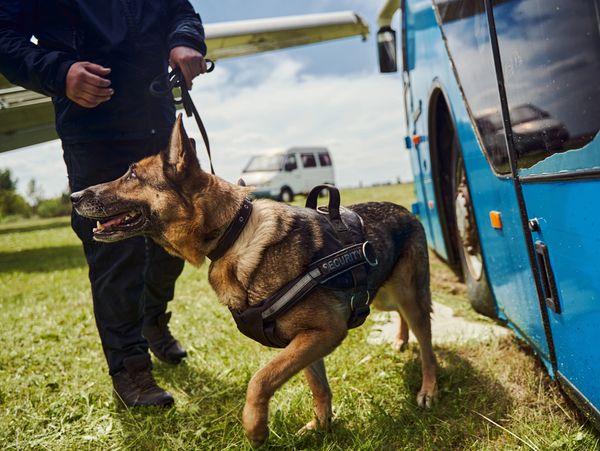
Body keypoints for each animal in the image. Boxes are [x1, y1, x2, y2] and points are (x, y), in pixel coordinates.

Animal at [72, 116, 436, 448]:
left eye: (132, 175)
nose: (74, 196)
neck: (233, 233)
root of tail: (406, 209)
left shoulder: (325, 332)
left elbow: (261, 379)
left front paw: (255, 428)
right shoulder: (306, 339)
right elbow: (318, 387)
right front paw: (321, 427)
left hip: (409, 297)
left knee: (428, 346)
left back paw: (428, 390)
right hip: (383, 297)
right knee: (402, 319)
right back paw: (400, 341)